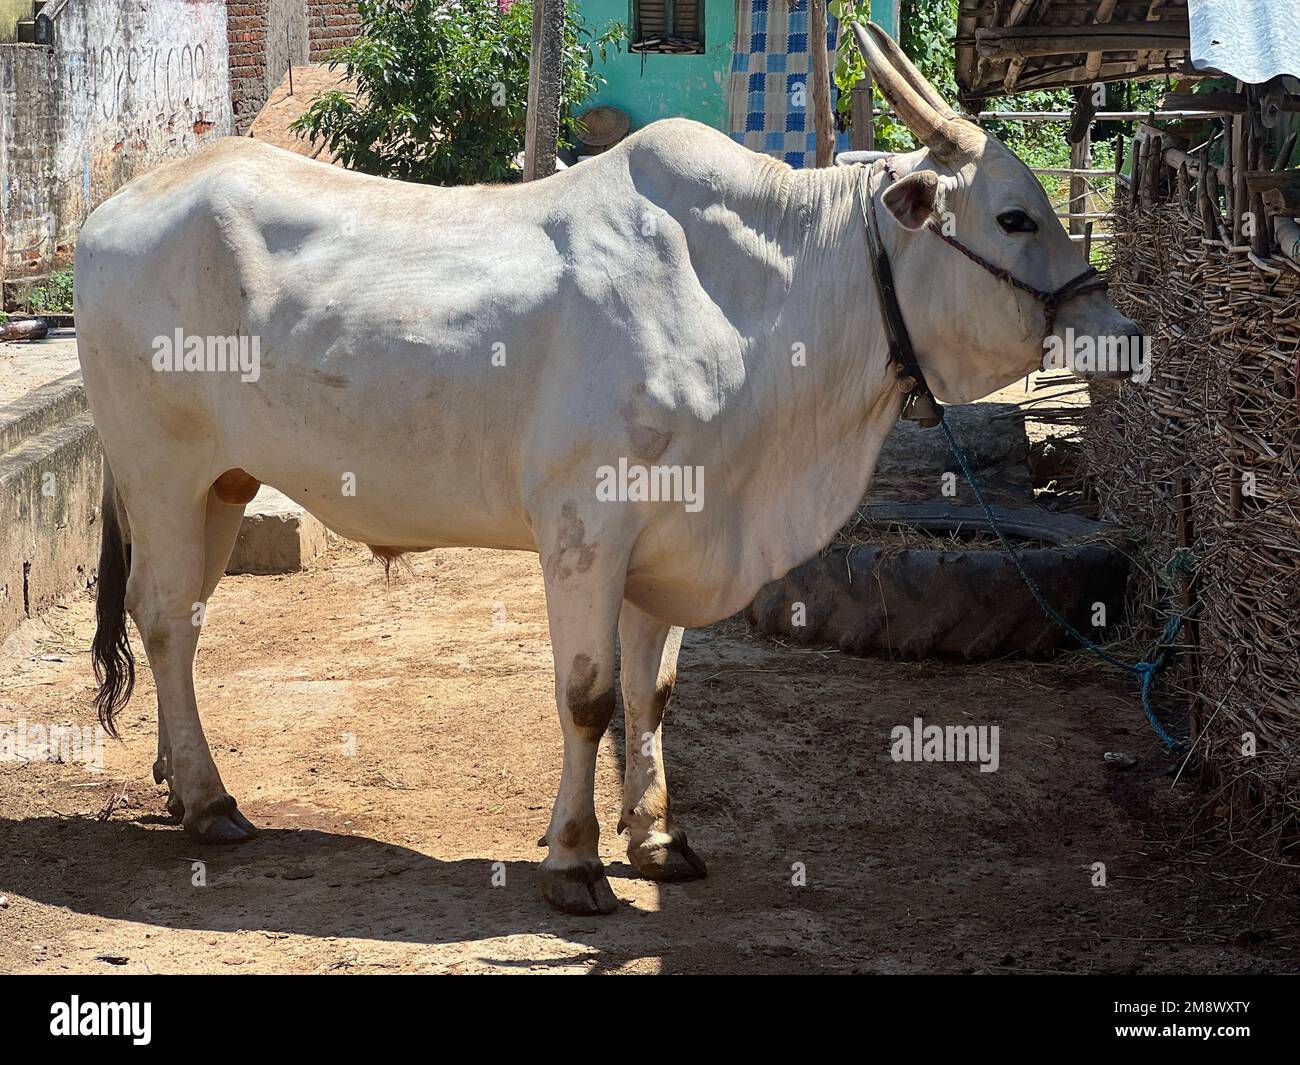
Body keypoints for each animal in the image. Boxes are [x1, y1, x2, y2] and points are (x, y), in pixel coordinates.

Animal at [76, 20, 1133, 910]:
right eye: (1015, 218)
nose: (1119, 328)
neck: (756, 300)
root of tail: (112, 210)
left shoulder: (673, 535)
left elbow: (647, 695)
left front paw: (655, 836)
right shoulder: (587, 527)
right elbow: (587, 698)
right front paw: (575, 858)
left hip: (223, 483)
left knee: (180, 620)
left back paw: (179, 784)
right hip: (160, 469)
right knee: (164, 618)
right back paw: (209, 801)